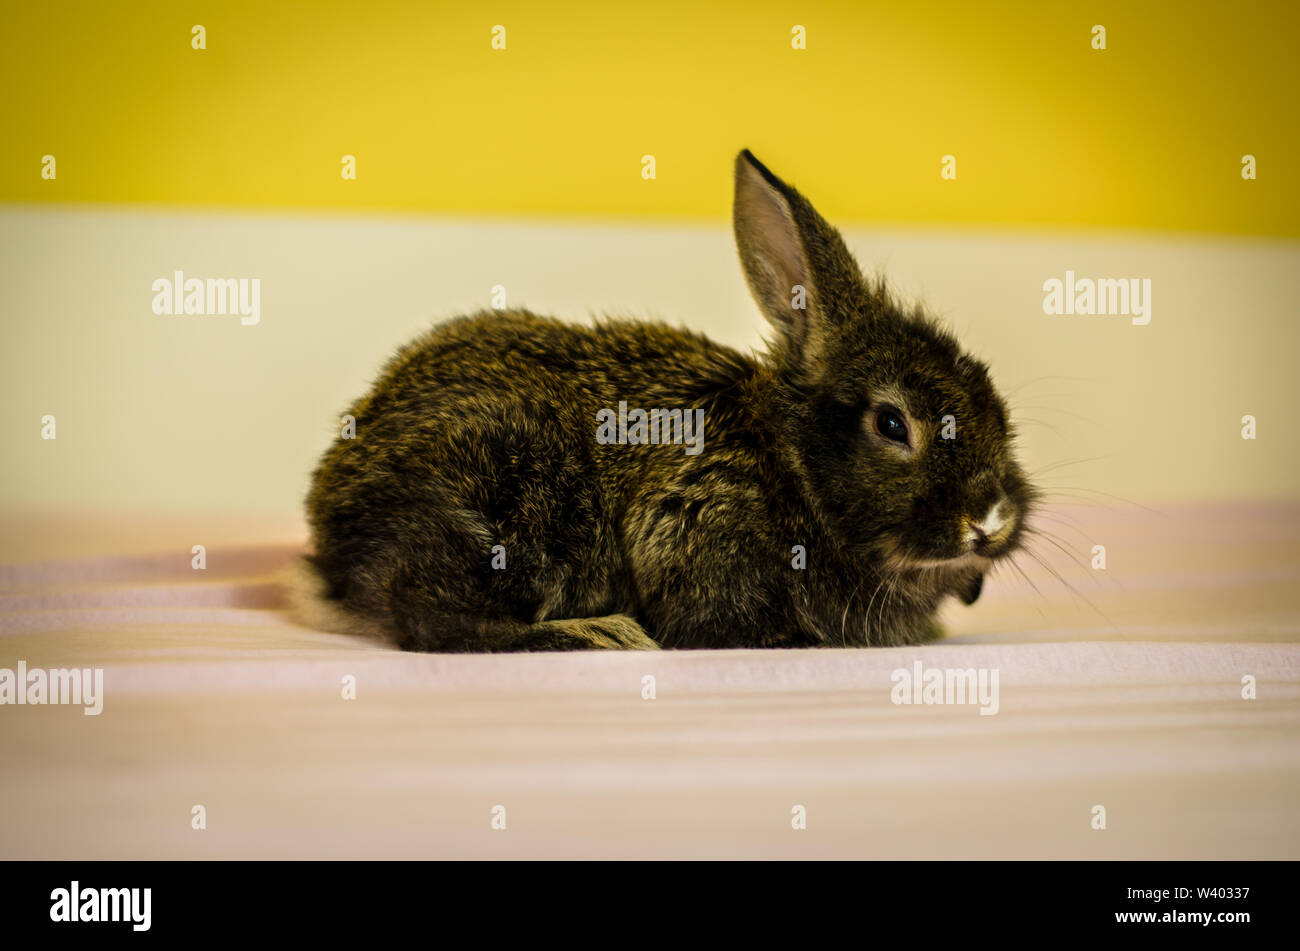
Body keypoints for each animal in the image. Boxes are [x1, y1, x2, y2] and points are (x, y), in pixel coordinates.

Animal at [300, 149, 1035, 651]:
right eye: (891, 423)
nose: (989, 518)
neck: (789, 466)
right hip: (507, 500)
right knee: (439, 621)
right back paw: (596, 633)